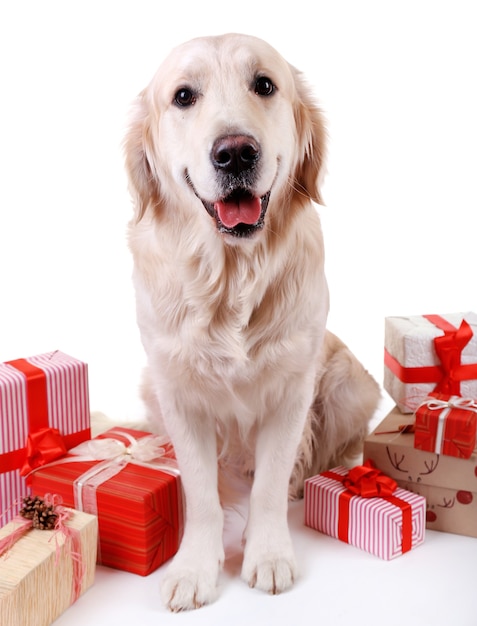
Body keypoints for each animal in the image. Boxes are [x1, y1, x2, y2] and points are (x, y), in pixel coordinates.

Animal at [123, 34, 380, 608]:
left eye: (264, 84)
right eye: (183, 96)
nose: (236, 151)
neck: (231, 278)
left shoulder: (291, 393)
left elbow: (267, 485)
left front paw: (268, 556)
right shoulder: (177, 394)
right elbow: (199, 491)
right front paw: (195, 566)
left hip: (350, 382)